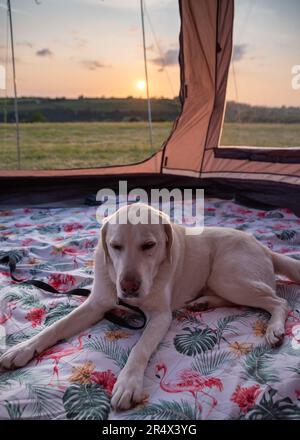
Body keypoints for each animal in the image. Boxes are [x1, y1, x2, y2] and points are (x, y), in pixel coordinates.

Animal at [1, 203, 298, 410]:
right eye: (115, 246)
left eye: (149, 245)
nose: (128, 287)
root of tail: (264, 247)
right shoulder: (96, 304)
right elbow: (55, 327)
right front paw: (22, 349)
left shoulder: (160, 317)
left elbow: (140, 348)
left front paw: (128, 382)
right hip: (224, 281)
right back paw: (202, 302)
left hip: (228, 276)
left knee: (279, 300)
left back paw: (274, 329)